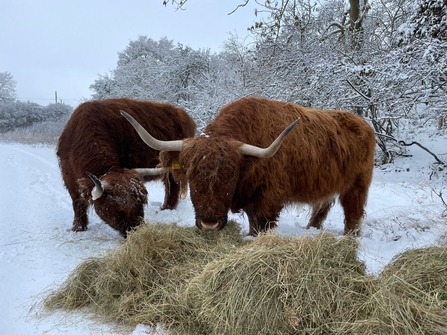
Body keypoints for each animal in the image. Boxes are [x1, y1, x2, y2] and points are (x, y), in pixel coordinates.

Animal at [56, 98, 196, 238]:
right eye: (117, 209)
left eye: (141, 203)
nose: (136, 229)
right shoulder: (69, 178)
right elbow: (78, 203)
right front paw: (78, 228)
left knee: (173, 186)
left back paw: (166, 208)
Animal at [121, 97, 374, 236]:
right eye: (191, 174)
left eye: (231, 173)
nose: (209, 224)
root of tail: (363, 123)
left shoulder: (268, 200)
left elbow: (260, 226)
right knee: (322, 206)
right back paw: (310, 229)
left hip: (358, 185)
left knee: (353, 213)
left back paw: (349, 237)